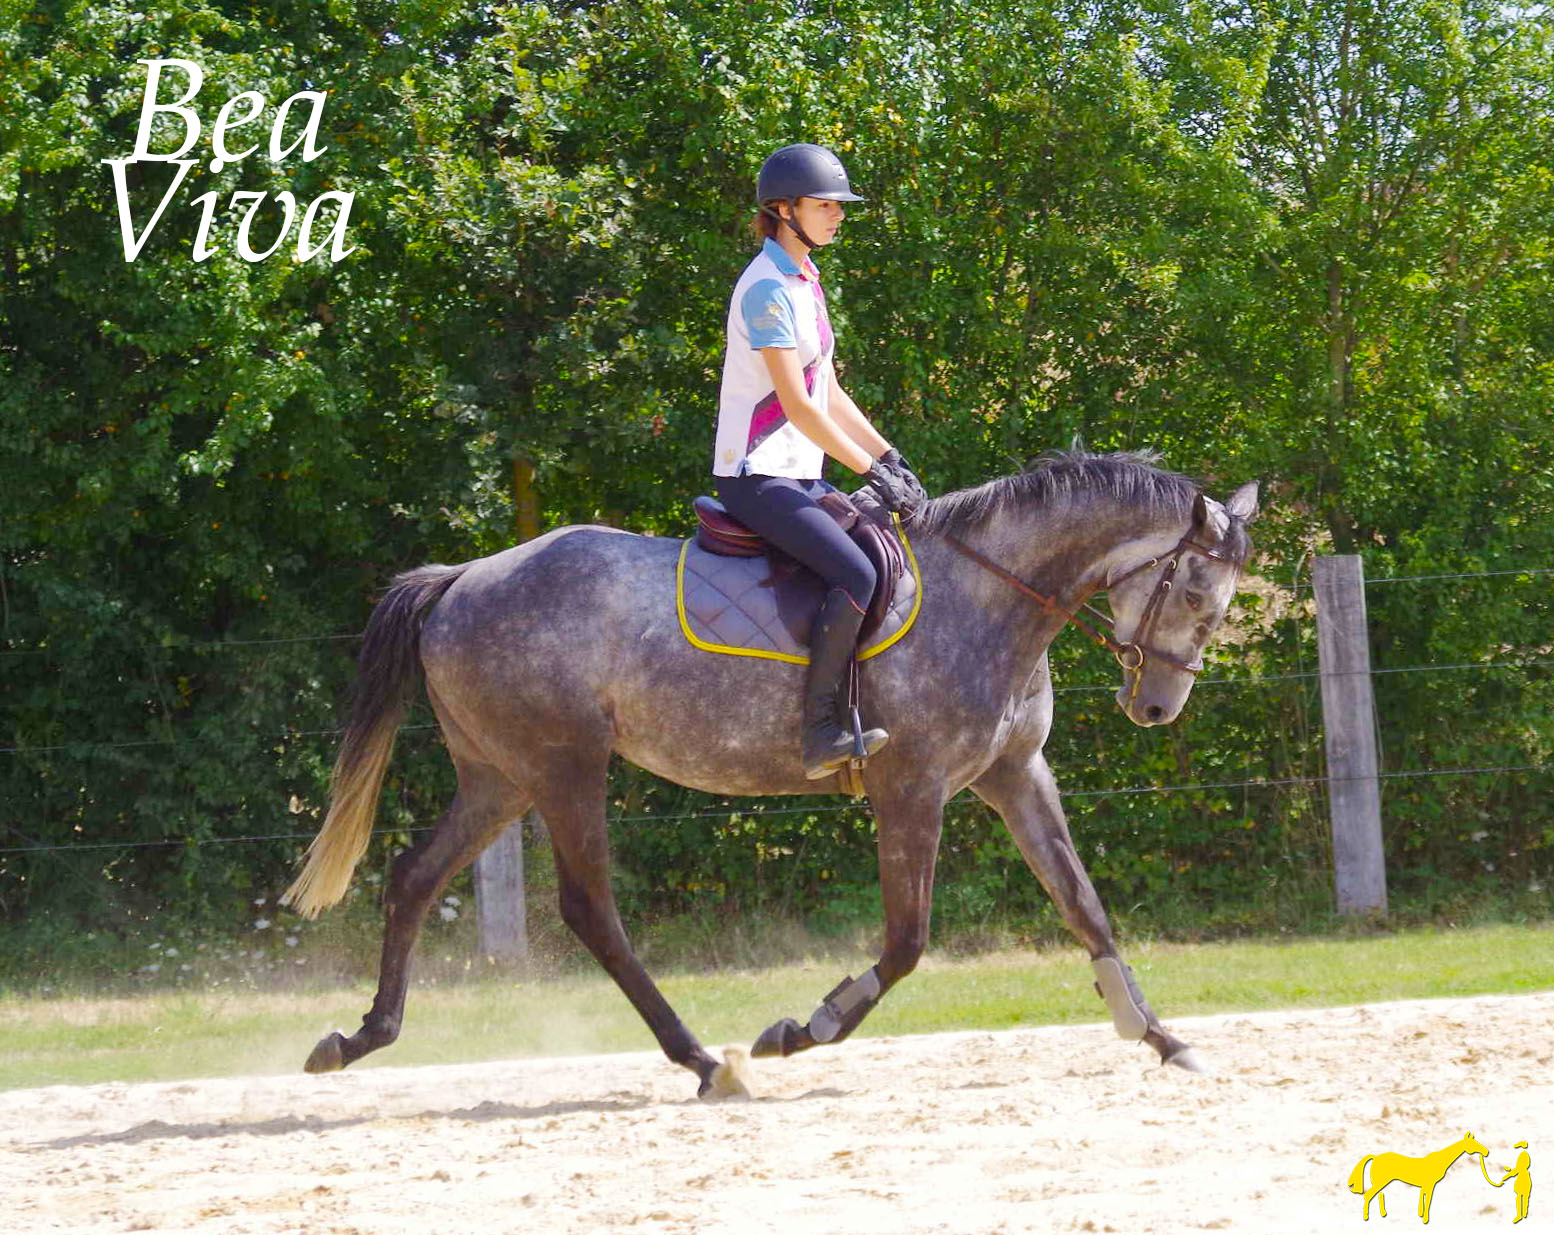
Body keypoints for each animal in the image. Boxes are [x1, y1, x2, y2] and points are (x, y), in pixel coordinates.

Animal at [285, 450, 1261, 1093]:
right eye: (1195, 594)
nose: (1158, 709)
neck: (991, 595)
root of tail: (463, 579)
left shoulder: (1017, 774)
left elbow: (1083, 902)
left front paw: (1160, 1034)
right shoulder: (912, 788)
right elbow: (907, 940)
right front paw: (803, 1028)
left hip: (501, 776)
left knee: (413, 879)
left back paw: (360, 1037)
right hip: (565, 767)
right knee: (589, 909)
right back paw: (703, 1060)